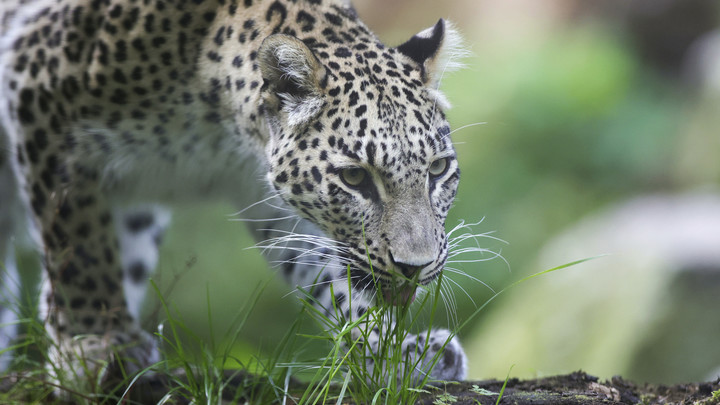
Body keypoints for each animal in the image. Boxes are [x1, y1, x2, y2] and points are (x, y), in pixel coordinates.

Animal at [0, 0, 466, 388]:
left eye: (437, 170)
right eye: (354, 178)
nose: (414, 268)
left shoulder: (266, 196)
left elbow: (326, 271)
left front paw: (390, 351)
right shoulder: (40, 97)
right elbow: (77, 246)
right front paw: (91, 347)